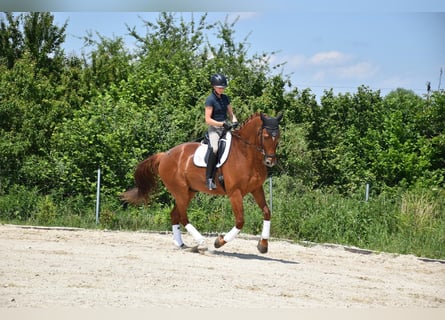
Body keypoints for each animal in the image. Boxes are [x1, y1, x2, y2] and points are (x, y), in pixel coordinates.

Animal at [119, 112, 282, 252]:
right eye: (266, 136)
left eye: (278, 137)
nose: (270, 161)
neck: (246, 154)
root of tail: (164, 155)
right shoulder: (234, 193)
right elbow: (240, 221)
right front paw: (219, 241)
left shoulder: (256, 189)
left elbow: (267, 212)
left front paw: (263, 245)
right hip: (180, 192)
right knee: (183, 217)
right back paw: (201, 242)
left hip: (188, 192)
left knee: (175, 215)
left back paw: (181, 244)